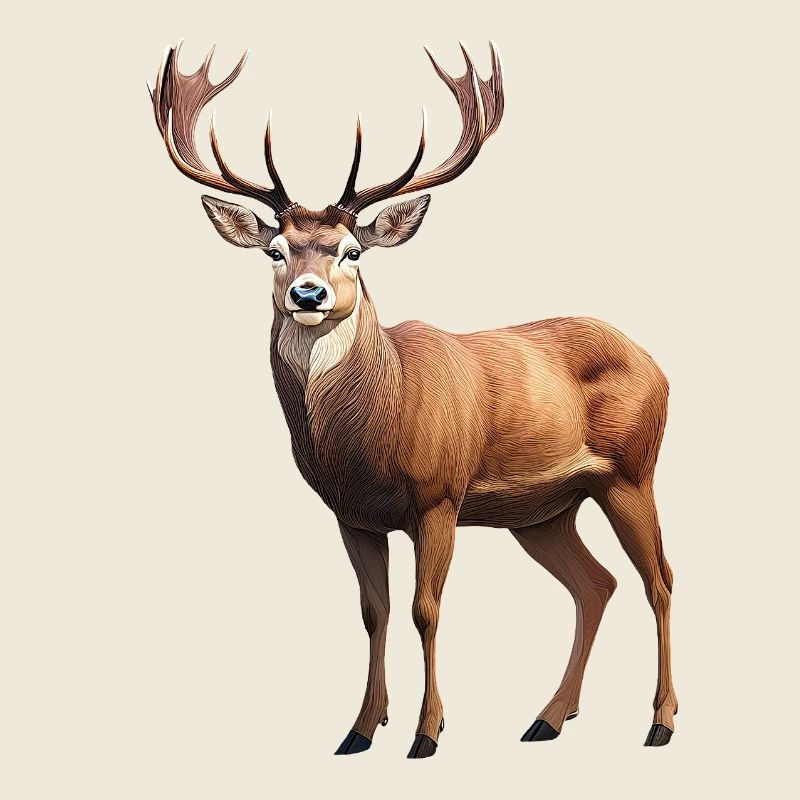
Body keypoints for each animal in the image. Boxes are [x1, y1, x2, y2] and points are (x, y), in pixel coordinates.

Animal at [148, 40, 677, 758]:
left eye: (352, 251)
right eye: (276, 251)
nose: (308, 293)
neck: (374, 431)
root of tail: (656, 364)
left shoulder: (439, 495)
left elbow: (426, 609)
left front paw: (428, 732)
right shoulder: (352, 515)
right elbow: (374, 612)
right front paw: (359, 729)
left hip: (631, 470)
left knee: (660, 580)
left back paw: (660, 722)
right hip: (544, 510)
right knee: (597, 584)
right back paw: (547, 717)